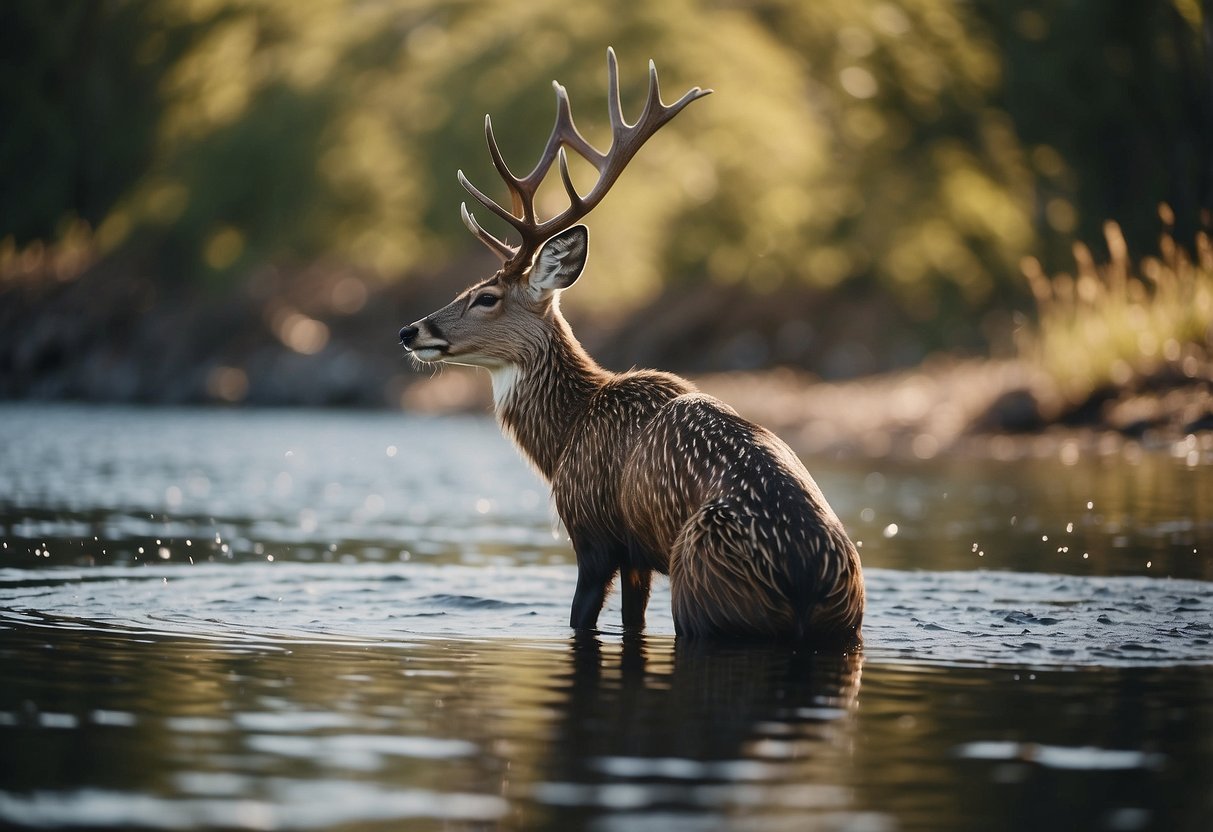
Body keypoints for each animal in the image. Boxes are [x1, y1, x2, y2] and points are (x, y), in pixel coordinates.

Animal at [397, 48, 863, 650]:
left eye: (486, 296)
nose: (410, 331)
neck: (566, 436)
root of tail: (804, 579)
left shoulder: (593, 532)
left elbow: (581, 617)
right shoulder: (638, 556)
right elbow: (632, 623)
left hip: (702, 588)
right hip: (838, 615)